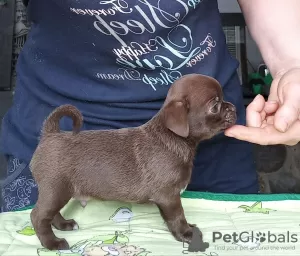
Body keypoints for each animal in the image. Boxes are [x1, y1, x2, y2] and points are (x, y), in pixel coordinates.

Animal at [29, 73, 237, 250]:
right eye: (215, 106)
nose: (234, 107)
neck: (174, 138)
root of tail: (50, 134)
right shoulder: (169, 197)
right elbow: (177, 217)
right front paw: (186, 233)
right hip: (56, 189)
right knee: (38, 216)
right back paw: (53, 243)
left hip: (57, 192)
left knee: (51, 214)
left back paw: (64, 224)